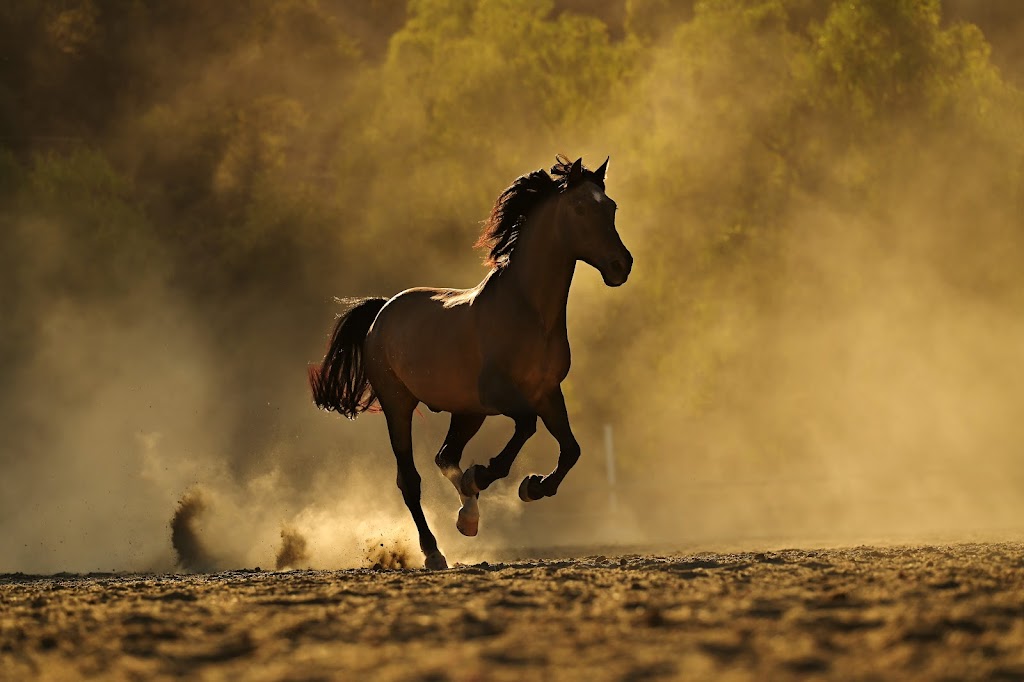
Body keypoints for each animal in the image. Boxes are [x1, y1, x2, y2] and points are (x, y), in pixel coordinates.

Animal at [307, 155, 630, 569]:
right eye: (579, 207)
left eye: (612, 207)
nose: (621, 265)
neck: (528, 310)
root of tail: (382, 310)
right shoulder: (500, 395)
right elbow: (526, 429)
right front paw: (486, 475)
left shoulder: (546, 392)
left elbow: (571, 449)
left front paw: (532, 486)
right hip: (399, 405)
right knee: (410, 480)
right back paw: (434, 550)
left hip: (466, 411)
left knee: (445, 456)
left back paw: (468, 516)